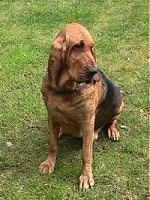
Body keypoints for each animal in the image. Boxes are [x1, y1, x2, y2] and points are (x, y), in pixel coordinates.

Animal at [39, 23, 123, 189]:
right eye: (77, 46)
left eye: (92, 48)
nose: (94, 71)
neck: (65, 90)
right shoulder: (51, 116)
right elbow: (53, 144)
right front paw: (49, 163)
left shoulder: (87, 123)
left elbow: (86, 154)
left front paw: (86, 176)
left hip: (120, 102)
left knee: (112, 121)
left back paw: (113, 131)